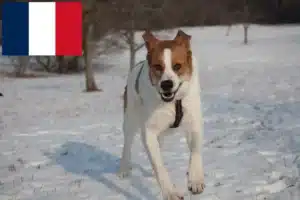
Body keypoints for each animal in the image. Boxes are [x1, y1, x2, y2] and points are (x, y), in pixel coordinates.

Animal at [118, 29, 205, 200]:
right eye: (158, 66)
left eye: (177, 66)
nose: (166, 84)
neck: (174, 102)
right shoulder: (149, 131)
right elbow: (159, 166)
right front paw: (170, 192)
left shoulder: (194, 122)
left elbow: (195, 151)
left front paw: (195, 180)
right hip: (130, 118)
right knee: (128, 141)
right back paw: (124, 168)